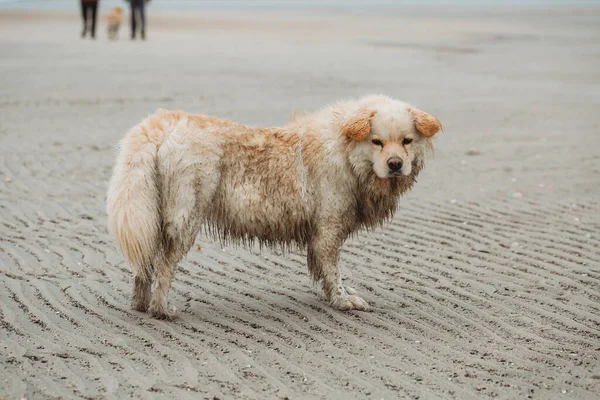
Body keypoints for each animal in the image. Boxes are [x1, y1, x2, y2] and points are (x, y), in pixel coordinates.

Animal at [106, 95, 440, 320]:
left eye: (407, 141)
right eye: (377, 142)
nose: (395, 164)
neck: (347, 154)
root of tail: (161, 124)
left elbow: (324, 270)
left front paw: (335, 296)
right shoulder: (328, 227)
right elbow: (334, 271)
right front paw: (342, 301)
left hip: (152, 214)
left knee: (144, 264)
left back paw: (140, 304)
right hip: (184, 218)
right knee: (163, 266)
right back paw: (161, 310)